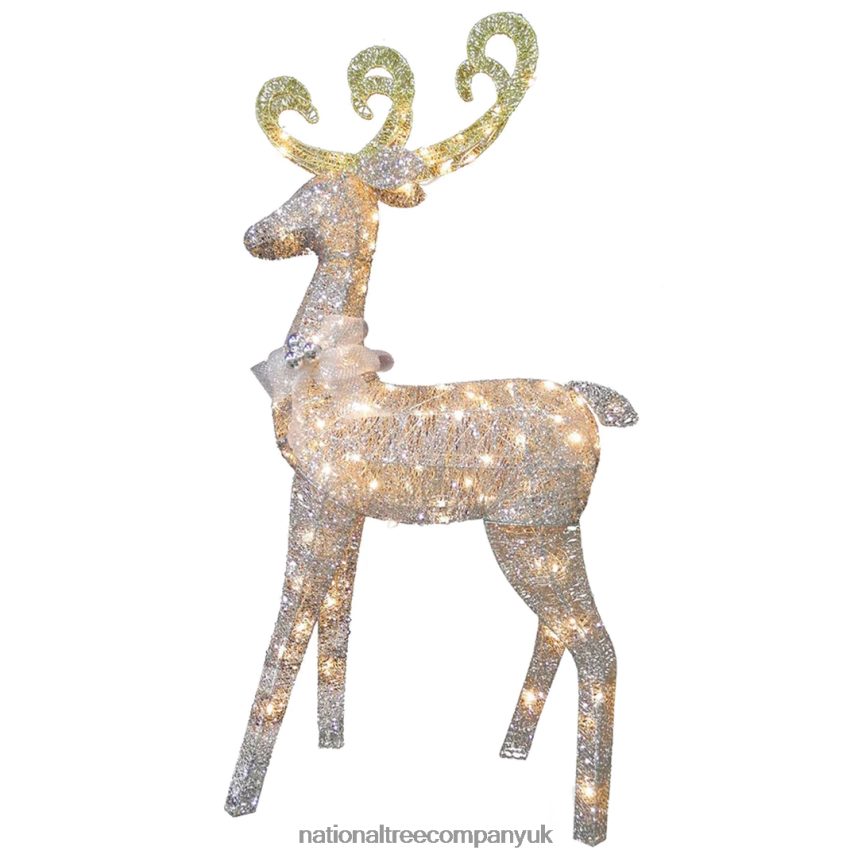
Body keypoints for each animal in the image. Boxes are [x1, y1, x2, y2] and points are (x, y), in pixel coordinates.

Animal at [225, 13, 637, 847]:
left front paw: (239, 798)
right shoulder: (349, 506)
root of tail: (591, 407)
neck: (332, 379)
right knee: (561, 634)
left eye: (309, 190)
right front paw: (332, 745)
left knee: (601, 647)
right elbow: (336, 622)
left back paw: (587, 824)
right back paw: (511, 751)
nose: (254, 232)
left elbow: (286, 628)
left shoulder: (315, 494)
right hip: (553, 529)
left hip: (528, 529)